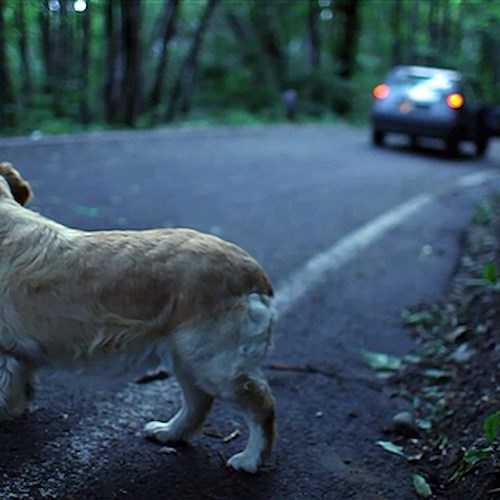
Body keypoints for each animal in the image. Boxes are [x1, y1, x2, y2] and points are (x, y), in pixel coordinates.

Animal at [0, 163, 276, 472]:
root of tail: (254, 273)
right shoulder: (17, 355)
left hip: (215, 363)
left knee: (261, 404)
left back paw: (250, 459)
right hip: (185, 357)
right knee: (198, 402)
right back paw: (170, 432)